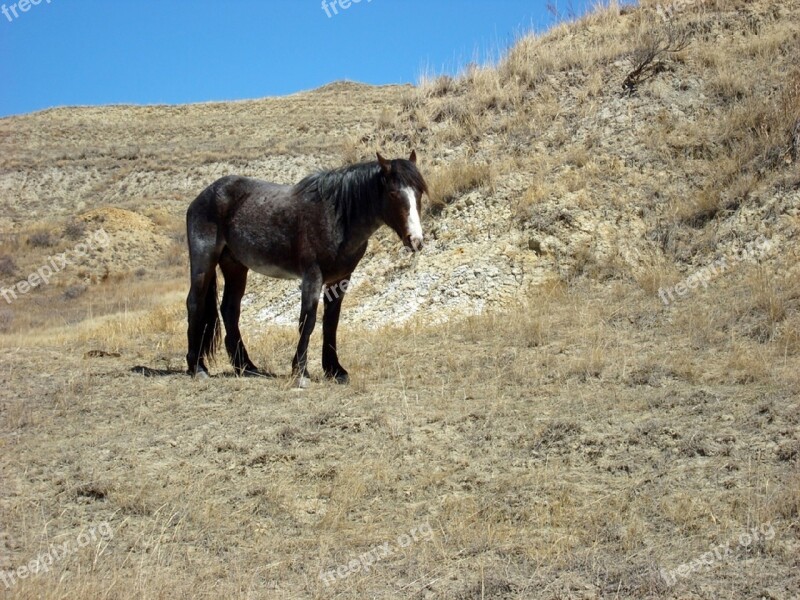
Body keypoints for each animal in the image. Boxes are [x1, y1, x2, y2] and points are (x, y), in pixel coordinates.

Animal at [185, 149, 428, 384]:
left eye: (419, 193)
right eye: (393, 193)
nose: (415, 240)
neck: (336, 216)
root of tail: (203, 196)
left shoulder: (341, 279)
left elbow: (331, 323)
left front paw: (335, 370)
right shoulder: (313, 276)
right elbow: (308, 320)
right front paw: (301, 372)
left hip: (235, 266)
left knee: (230, 309)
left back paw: (246, 367)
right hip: (204, 262)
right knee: (195, 303)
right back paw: (197, 367)